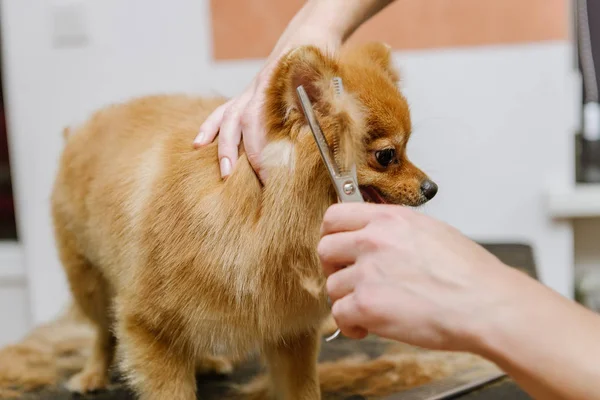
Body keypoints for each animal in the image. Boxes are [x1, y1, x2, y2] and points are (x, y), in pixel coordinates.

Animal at [50, 42, 436, 398]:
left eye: (407, 148)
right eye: (387, 156)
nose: (431, 188)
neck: (262, 215)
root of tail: (80, 130)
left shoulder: (289, 329)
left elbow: (301, 388)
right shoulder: (148, 326)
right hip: (91, 283)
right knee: (103, 332)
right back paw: (92, 375)